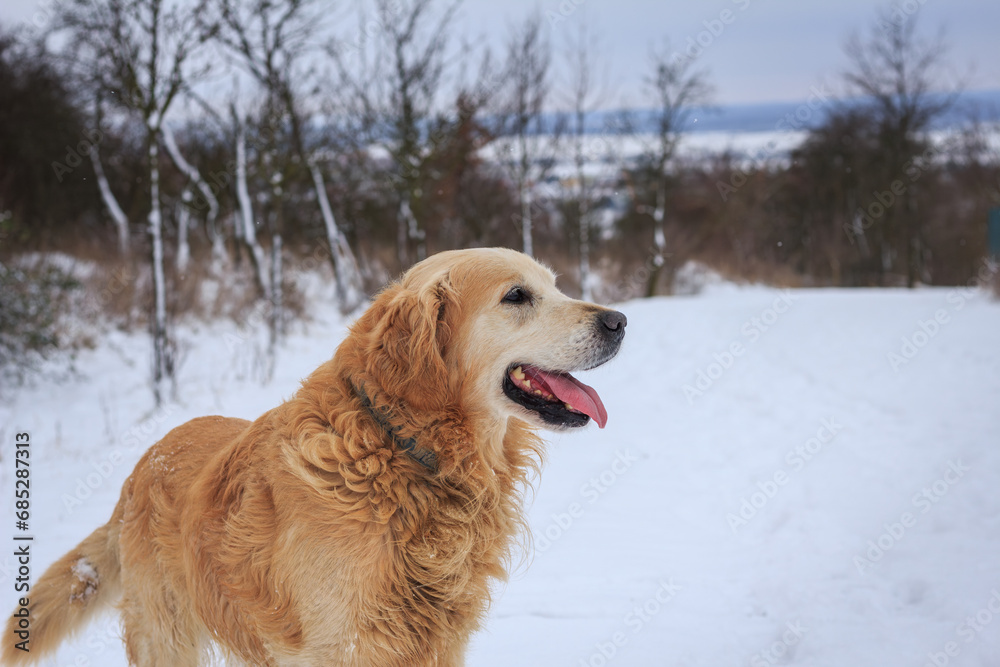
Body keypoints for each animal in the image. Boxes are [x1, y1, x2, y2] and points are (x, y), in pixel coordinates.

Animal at [5, 248, 624, 664]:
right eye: (516, 296)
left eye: (556, 286)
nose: (619, 321)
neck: (403, 452)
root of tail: (142, 465)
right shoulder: (345, 644)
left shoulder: (438, 642)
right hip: (168, 636)